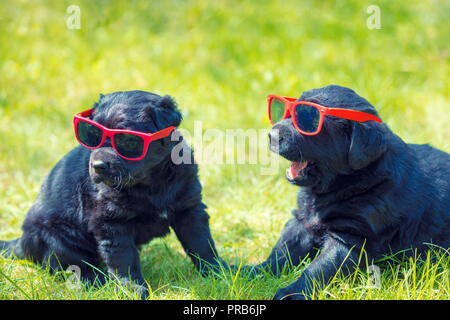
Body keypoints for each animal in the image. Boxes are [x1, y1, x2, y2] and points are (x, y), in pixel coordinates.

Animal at [0, 89, 224, 298]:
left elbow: (202, 244)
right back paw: (94, 280)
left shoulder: (190, 209)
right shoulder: (111, 222)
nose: (98, 166)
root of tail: (20, 243)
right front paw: (131, 288)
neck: (150, 184)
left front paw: (218, 272)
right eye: (92, 134)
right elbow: (124, 258)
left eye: (128, 141)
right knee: (69, 265)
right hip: (54, 236)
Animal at [251, 85, 448, 300]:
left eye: (310, 121)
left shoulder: (351, 238)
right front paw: (250, 272)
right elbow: (281, 253)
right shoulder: (302, 222)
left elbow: (318, 268)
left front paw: (291, 293)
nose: (271, 135)